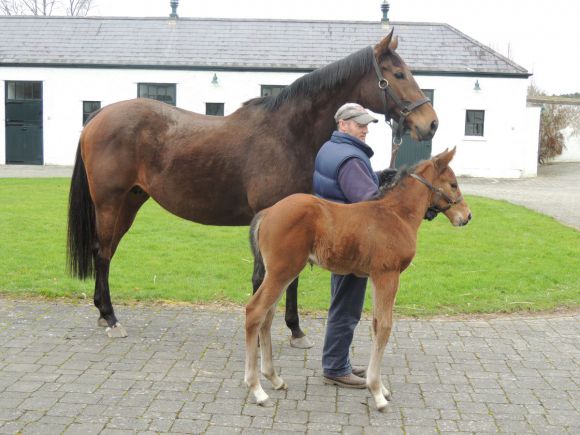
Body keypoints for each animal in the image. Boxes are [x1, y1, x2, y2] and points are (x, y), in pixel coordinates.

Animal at [245, 148, 472, 410]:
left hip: (281, 273)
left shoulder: (375, 277)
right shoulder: (388, 274)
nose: (467, 216)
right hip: (283, 271)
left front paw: (380, 387)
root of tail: (268, 212)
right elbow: (384, 325)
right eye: (453, 184)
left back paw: (274, 378)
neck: (396, 215)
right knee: (255, 311)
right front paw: (377, 393)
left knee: (267, 316)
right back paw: (257, 389)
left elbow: (375, 323)